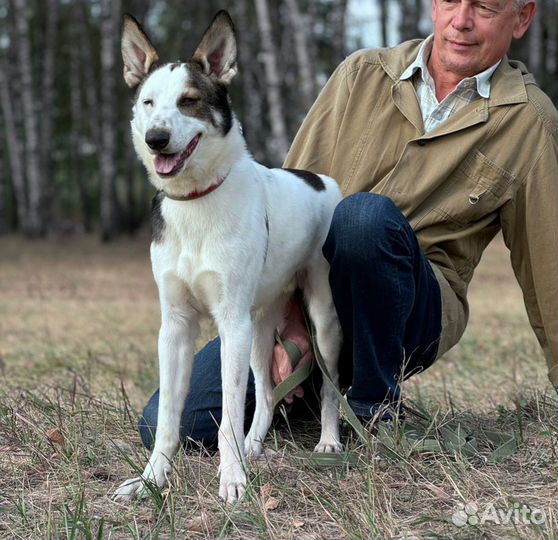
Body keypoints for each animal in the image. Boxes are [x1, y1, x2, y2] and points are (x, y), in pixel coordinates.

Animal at [114, 10, 344, 504]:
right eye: (148, 102)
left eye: (189, 101)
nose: (156, 138)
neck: (196, 202)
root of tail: (323, 180)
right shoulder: (176, 326)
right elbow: (169, 420)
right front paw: (151, 480)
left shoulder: (229, 321)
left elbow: (229, 417)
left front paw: (232, 478)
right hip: (258, 325)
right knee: (269, 389)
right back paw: (255, 444)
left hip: (320, 318)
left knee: (330, 386)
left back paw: (329, 441)